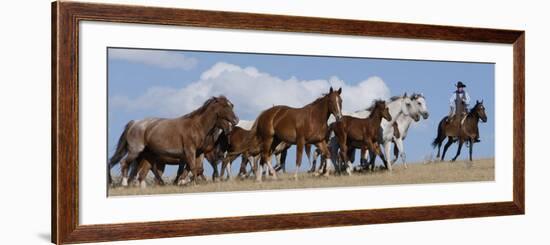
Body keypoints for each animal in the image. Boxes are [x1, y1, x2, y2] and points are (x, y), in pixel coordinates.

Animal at [108, 95, 239, 186]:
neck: (197, 126)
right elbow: (192, 167)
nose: (236, 120)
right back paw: (124, 183)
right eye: (225, 106)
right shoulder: (190, 150)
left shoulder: (197, 153)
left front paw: (182, 182)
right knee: (124, 163)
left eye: (231, 105)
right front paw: (193, 183)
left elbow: (190, 169)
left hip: (146, 155)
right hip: (136, 151)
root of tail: (134, 123)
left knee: (141, 171)